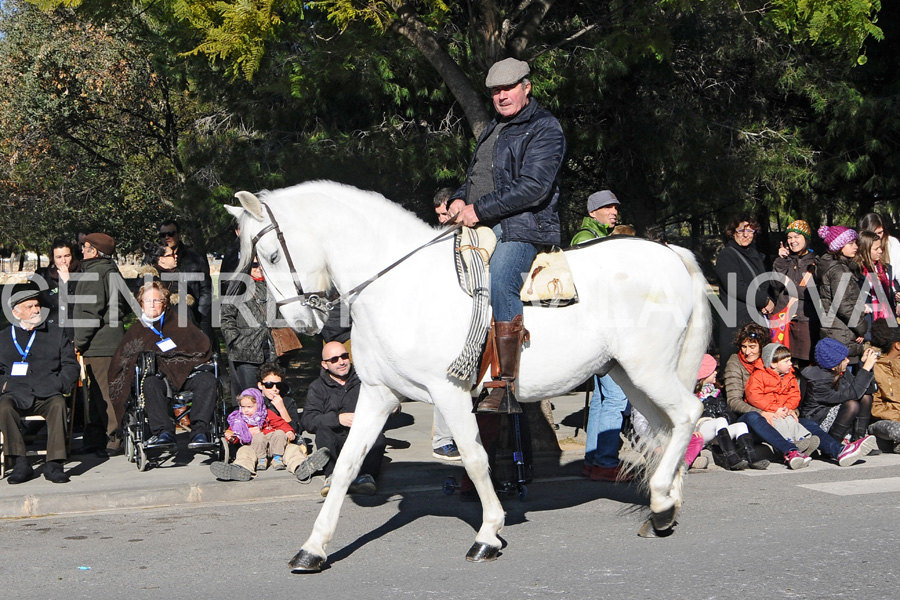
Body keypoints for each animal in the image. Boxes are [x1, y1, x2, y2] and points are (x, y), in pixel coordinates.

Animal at [223, 182, 712, 572]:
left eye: (270, 255)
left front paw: (488, 534)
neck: (400, 286)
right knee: (664, 428)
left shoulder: (450, 393)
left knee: (688, 414)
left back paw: (662, 501)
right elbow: (346, 465)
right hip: (628, 373)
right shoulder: (379, 395)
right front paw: (313, 548)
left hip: (649, 369)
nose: (298, 322)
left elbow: (476, 460)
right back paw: (664, 507)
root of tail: (670, 252)